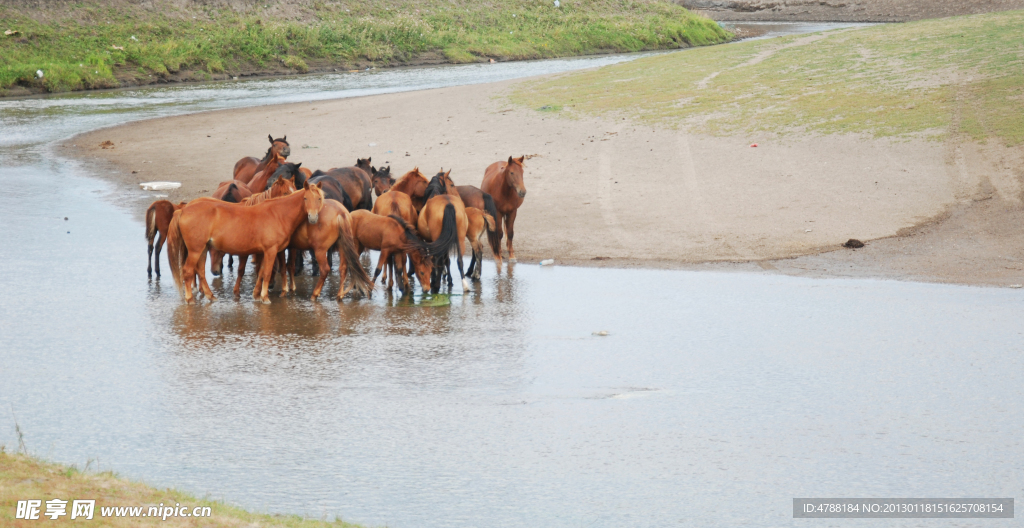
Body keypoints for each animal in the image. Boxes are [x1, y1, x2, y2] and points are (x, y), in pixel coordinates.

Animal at [167, 183, 325, 302]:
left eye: (319, 198)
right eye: (305, 198)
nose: (312, 217)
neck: (278, 214)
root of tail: (184, 210)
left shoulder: (264, 252)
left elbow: (261, 272)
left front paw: (257, 295)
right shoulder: (271, 251)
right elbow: (267, 273)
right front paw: (265, 297)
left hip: (203, 249)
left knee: (200, 271)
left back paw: (211, 296)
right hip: (195, 250)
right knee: (188, 271)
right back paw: (189, 299)